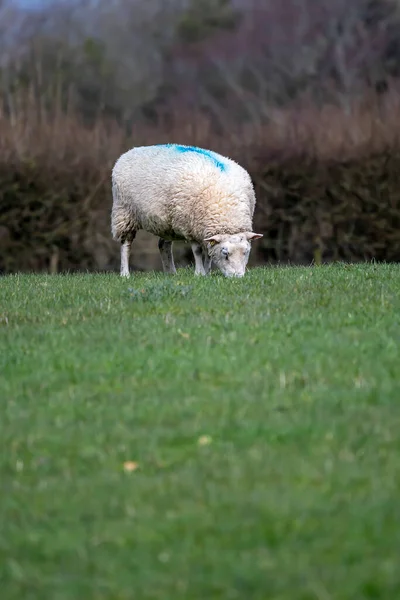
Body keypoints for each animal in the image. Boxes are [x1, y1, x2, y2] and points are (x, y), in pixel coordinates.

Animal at [110, 144, 262, 278]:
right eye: (225, 253)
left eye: (246, 252)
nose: (238, 277)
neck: (226, 207)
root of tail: (130, 152)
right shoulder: (190, 227)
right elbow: (198, 250)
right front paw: (199, 274)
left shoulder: (204, 229)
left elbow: (208, 253)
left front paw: (207, 273)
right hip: (124, 213)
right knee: (126, 245)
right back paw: (125, 274)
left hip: (167, 224)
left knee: (163, 245)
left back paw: (171, 273)